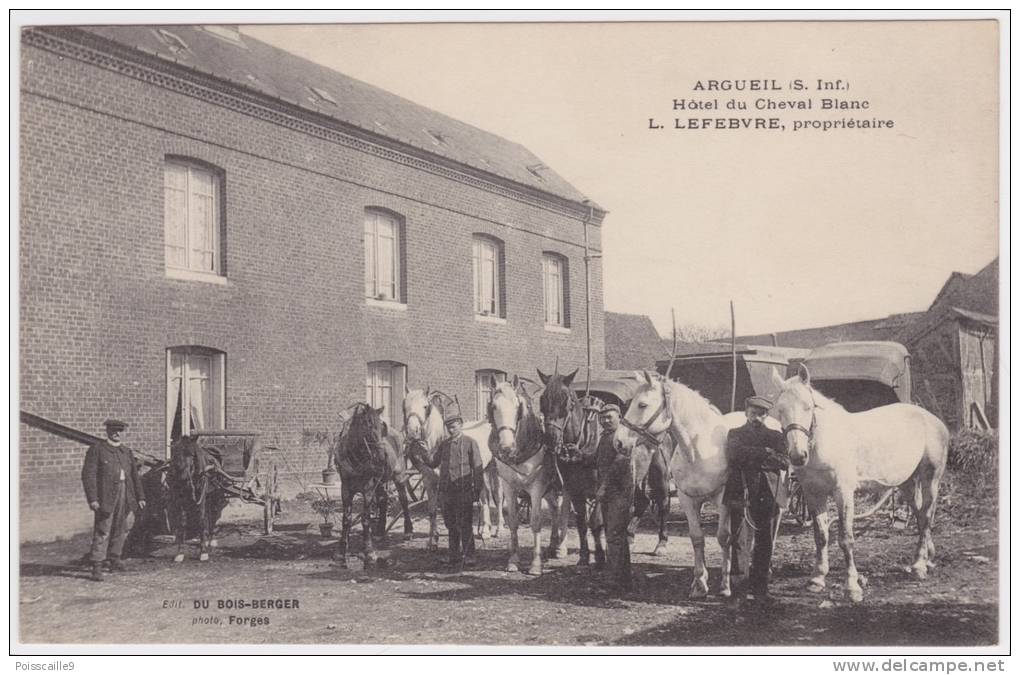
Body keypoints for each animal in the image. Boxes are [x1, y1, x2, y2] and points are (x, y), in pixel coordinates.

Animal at [334, 403, 414, 566]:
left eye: (381, 426)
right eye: (368, 424)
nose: (382, 457)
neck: (356, 458)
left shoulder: (368, 489)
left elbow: (365, 519)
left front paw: (369, 551)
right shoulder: (345, 489)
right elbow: (346, 519)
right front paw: (341, 550)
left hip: (399, 476)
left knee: (403, 500)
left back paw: (408, 531)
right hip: (381, 481)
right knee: (383, 500)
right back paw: (380, 532)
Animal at [401, 385, 505, 550]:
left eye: (425, 407)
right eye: (404, 406)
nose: (412, 432)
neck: (437, 442)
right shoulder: (428, 480)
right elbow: (432, 510)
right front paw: (433, 541)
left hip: (496, 469)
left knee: (498, 496)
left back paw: (499, 529)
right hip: (482, 470)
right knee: (484, 496)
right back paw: (484, 530)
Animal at [487, 377, 571, 575]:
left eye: (517, 407)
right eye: (493, 406)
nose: (506, 447)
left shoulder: (536, 488)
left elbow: (535, 522)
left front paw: (535, 564)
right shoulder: (509, 486)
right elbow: (513, 521)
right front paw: (513, 560)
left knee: (564, 511)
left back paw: (561, 547)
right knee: (555, 509)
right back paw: (553, 545)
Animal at [612, 373, 779, 599]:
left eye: (642, 404)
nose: (618, 442)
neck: (699, 450)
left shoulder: (723, 500)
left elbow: (723, 538)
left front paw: (724, 585)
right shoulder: (688, 500)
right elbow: (697, 538)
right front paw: (700, 583)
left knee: (770, 528)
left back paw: (763, 571)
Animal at [771, 365, 946, 603]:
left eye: (808, 407)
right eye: (780, 410)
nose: (798, 456)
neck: (827, 442)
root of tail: (932, 419)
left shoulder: (843, 493)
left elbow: (846, 539)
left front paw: (852, 587)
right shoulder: (813, 494)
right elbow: (821, 535)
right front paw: (817, 579)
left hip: (931, 478)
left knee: (926, 516)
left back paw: (919, 566)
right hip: (907, 483)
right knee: (920, 515)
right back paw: (927, 558)